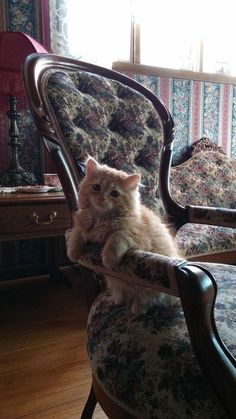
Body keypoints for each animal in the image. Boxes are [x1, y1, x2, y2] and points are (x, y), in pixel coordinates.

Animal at [67, 158, 180, 316]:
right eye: (96, 187)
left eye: (115, 194)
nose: (102, 198)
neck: (102, 218)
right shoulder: (84, 226)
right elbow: (77, 233)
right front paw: (73, 252)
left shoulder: (139, 237)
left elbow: (117, 235)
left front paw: (108, 259)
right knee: (123, 298)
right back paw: (117, 302)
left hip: (151, 291)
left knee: (148, 301)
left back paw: (137, 308)